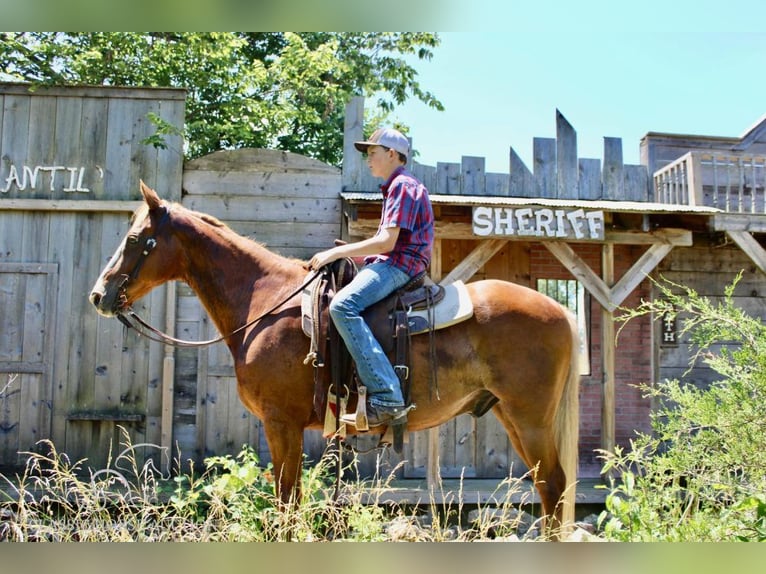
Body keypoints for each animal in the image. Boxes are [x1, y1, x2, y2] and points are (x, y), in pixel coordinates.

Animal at [88, 183, 584, 532]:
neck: (265, 301)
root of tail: (561, 311)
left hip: (531, 418)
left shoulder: (281, 423)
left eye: (135, 239)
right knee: (548, 489)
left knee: (555, 487)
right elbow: (291, 501)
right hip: (510, 415)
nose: (99, 295)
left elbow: (285, 503)